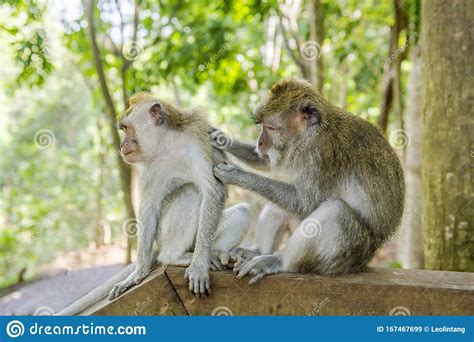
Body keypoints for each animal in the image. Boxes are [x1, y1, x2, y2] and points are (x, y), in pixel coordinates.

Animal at [58, 94, 252, 316]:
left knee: (238, 209)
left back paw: (217, 255)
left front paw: (199, 265)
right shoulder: (152, 165)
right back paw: (174, 257)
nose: (122, 146)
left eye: (126, 128)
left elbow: (213, 191)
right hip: (163, 235)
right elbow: (149, 208)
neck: (169, 143)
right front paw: (137, 274)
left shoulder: (196, 142)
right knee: (190, 192)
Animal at [213, 79, 406, 284]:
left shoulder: (321, 154)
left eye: (271, 128)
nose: (260, 143)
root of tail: (366, 261)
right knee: (279, 205)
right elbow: (266, 162)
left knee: (336, 211)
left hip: (347, 257)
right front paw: (221, 138)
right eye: (261, 126)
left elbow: (307, 203)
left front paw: (237, 175)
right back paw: (257, 251)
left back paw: (279, 261)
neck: (309, 134)